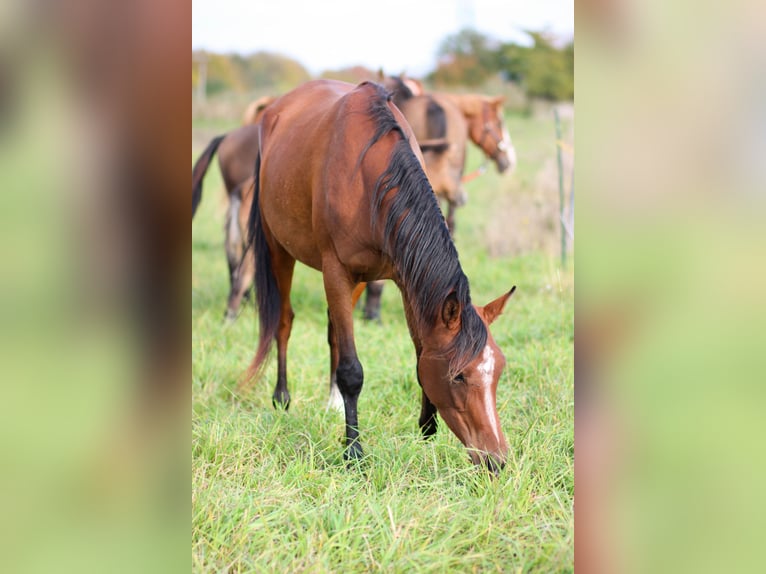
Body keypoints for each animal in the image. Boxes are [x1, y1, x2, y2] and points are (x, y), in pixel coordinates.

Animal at [246, 77, 520, 472]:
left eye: (498, 370)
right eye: (459, 375)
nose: (496, 460)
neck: (370, 177)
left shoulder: (405, 278)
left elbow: (419, 353)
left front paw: (426, 428)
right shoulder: (335, 270)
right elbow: (352, 370)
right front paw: (353, 451)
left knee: (333, 331)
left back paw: (332, 403)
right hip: (278, 248)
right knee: (283, 321)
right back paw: (282, 397)